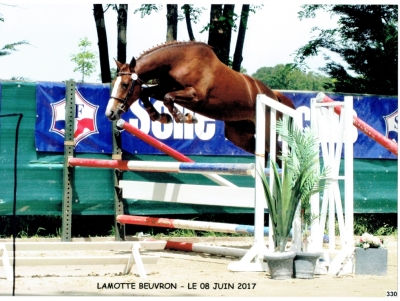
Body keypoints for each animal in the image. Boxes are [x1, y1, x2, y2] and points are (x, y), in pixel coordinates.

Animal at [105, 40, 294, 155]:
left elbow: (167, 98)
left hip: (268, 132)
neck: (177, 62)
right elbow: (147, 93)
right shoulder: (165, 87)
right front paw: (161, 117)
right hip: (239, 135)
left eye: (125, 84)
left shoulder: (196, 96)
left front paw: (185, 118)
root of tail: (274, 95)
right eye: (114, 82)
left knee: (280, 155)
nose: (110, 113)